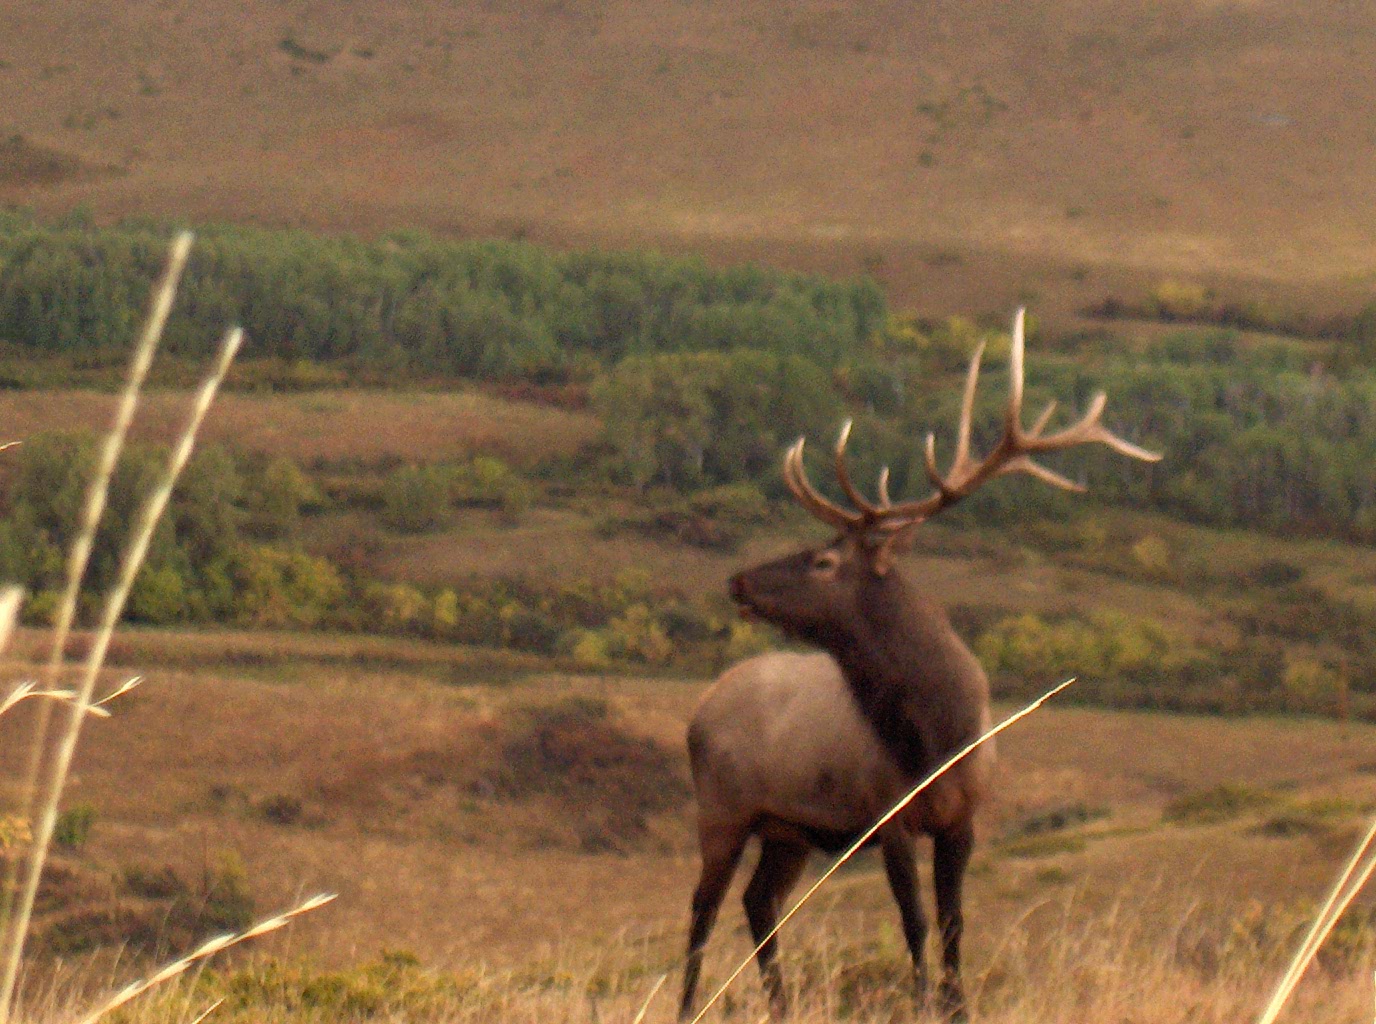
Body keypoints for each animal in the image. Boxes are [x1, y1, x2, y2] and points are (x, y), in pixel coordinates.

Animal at [678, 309, 1160, 1023]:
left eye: (824, 559)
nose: (737, 580)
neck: (938, 733)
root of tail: (701, 709)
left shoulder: (963, 819)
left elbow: (955, 922)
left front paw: (958, 1007)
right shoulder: (889, 817)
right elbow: (915, 925)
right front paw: (926, 1002)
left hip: (788, 828)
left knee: (756, 903)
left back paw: (781, 1005)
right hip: (722, 807)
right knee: (702, 911)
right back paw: (688, 1006)